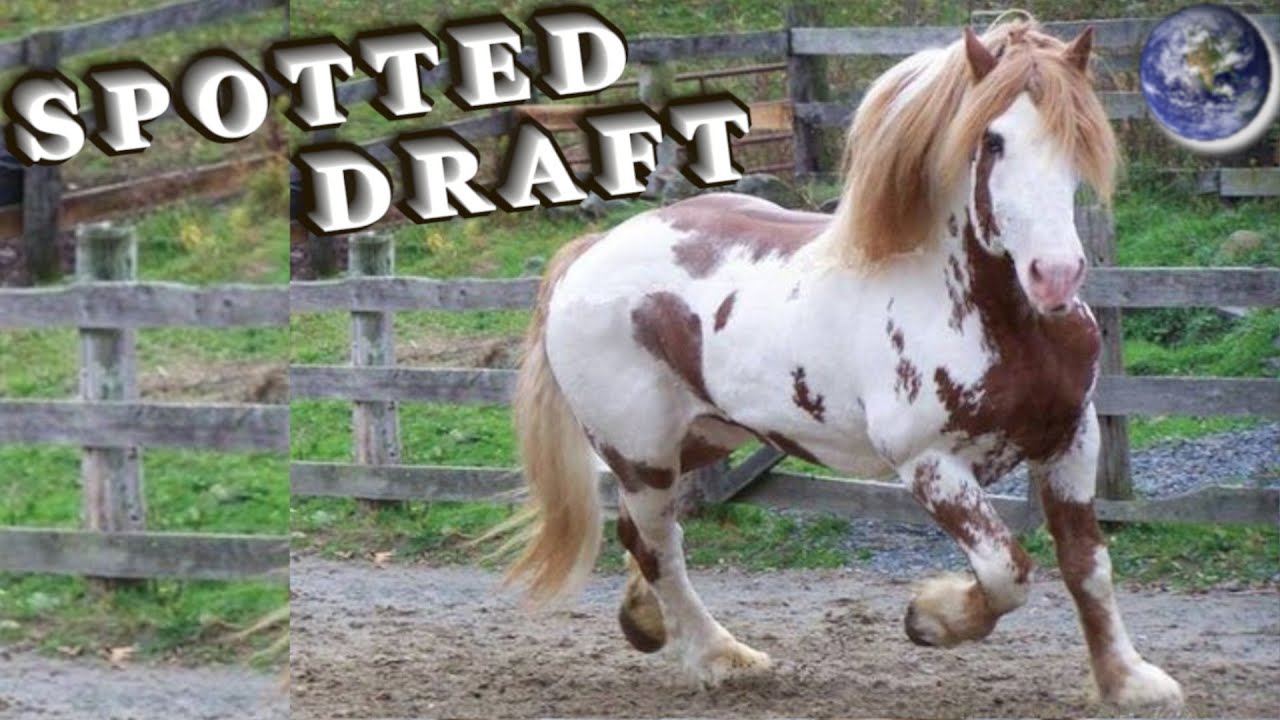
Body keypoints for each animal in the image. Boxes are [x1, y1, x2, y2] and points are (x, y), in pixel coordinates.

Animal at [499, 17, 1184, 709]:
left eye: (1083, 134)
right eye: (992, 140)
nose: (1055, 275)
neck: (994, 320)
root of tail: (591, 250)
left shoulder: (1071, 438)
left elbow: (1088, 566)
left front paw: (1129, 680)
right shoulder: (931, 465)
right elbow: (1006, 571)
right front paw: (930, 618)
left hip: (701, 438)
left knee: (641, 538)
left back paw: (645, 623)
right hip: (642, 457)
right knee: (660, 547)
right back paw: (721, 656)